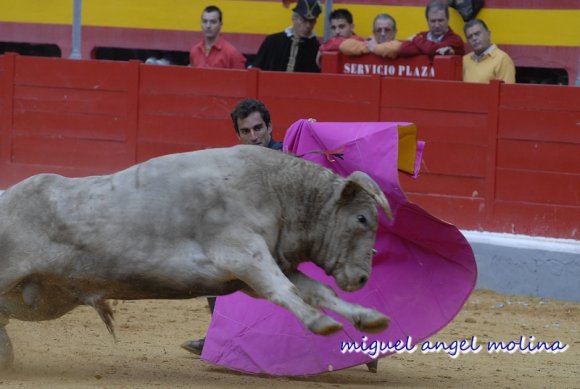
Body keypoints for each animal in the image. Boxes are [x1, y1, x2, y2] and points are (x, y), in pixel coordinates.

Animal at [0, 145, 392, 366]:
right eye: (362, 218)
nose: (362, 278)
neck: (277, 190)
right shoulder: (244, 255)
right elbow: (285, 291)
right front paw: (320, 323)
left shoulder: (267, 267)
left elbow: (318, 291)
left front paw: (368, 317)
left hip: (42, 297)